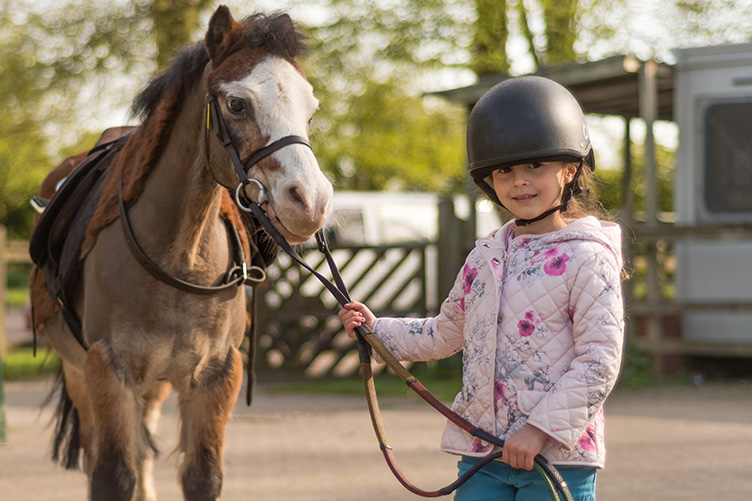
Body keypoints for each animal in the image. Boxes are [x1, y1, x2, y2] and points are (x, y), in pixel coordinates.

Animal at [28, 6, 332, 500]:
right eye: (236, 104)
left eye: (311, 109)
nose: (310, 201)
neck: (178, 257)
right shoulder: (107, 370)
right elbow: (112, 474)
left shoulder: (216, 375)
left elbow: (200, 476)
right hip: (80, 374)